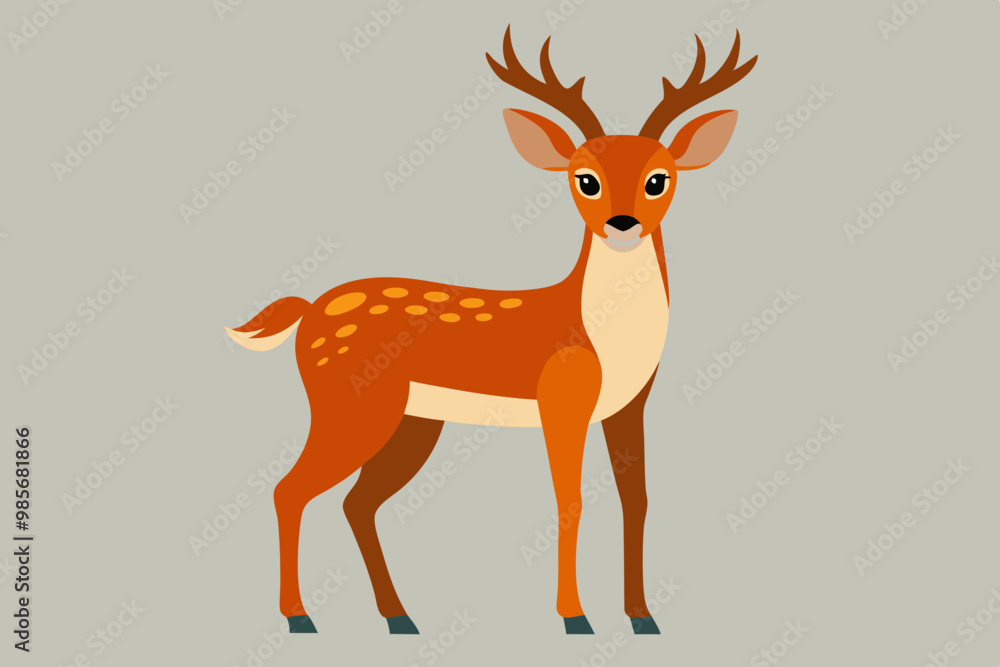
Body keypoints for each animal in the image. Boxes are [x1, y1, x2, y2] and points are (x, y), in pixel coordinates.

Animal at [226, 26, 756, 636]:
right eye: (585, 179)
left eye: (658, 179)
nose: (622, 224)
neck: (602, 335)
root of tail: (309, 308)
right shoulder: (561, 398)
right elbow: (570, 500)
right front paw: (575, 618)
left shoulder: (630, 405)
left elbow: (637, 500)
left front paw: (643, 618)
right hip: (349, 403)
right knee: (289, 490)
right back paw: (300, 618)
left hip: (411, 422)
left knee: (356, 502)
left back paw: (399, 617)